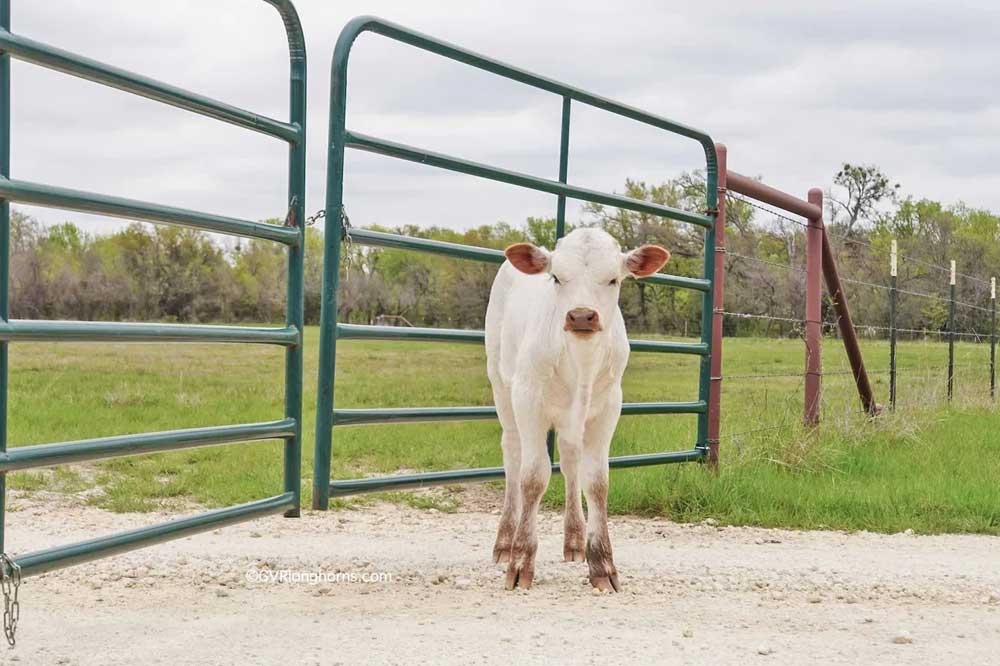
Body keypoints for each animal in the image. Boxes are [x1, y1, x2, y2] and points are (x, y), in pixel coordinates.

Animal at [486, 228, 672, 592]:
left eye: (613, 279)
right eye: (557, 277)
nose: (582, 315)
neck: (579, 362)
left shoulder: (608, 408)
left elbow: (596, 482)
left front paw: (602, 564)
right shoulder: (528, 400)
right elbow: (533, 478)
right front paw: (521, 560)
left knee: (571, 461)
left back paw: (574, 540)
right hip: (502, 386)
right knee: (512, 456)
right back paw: (504, 541)